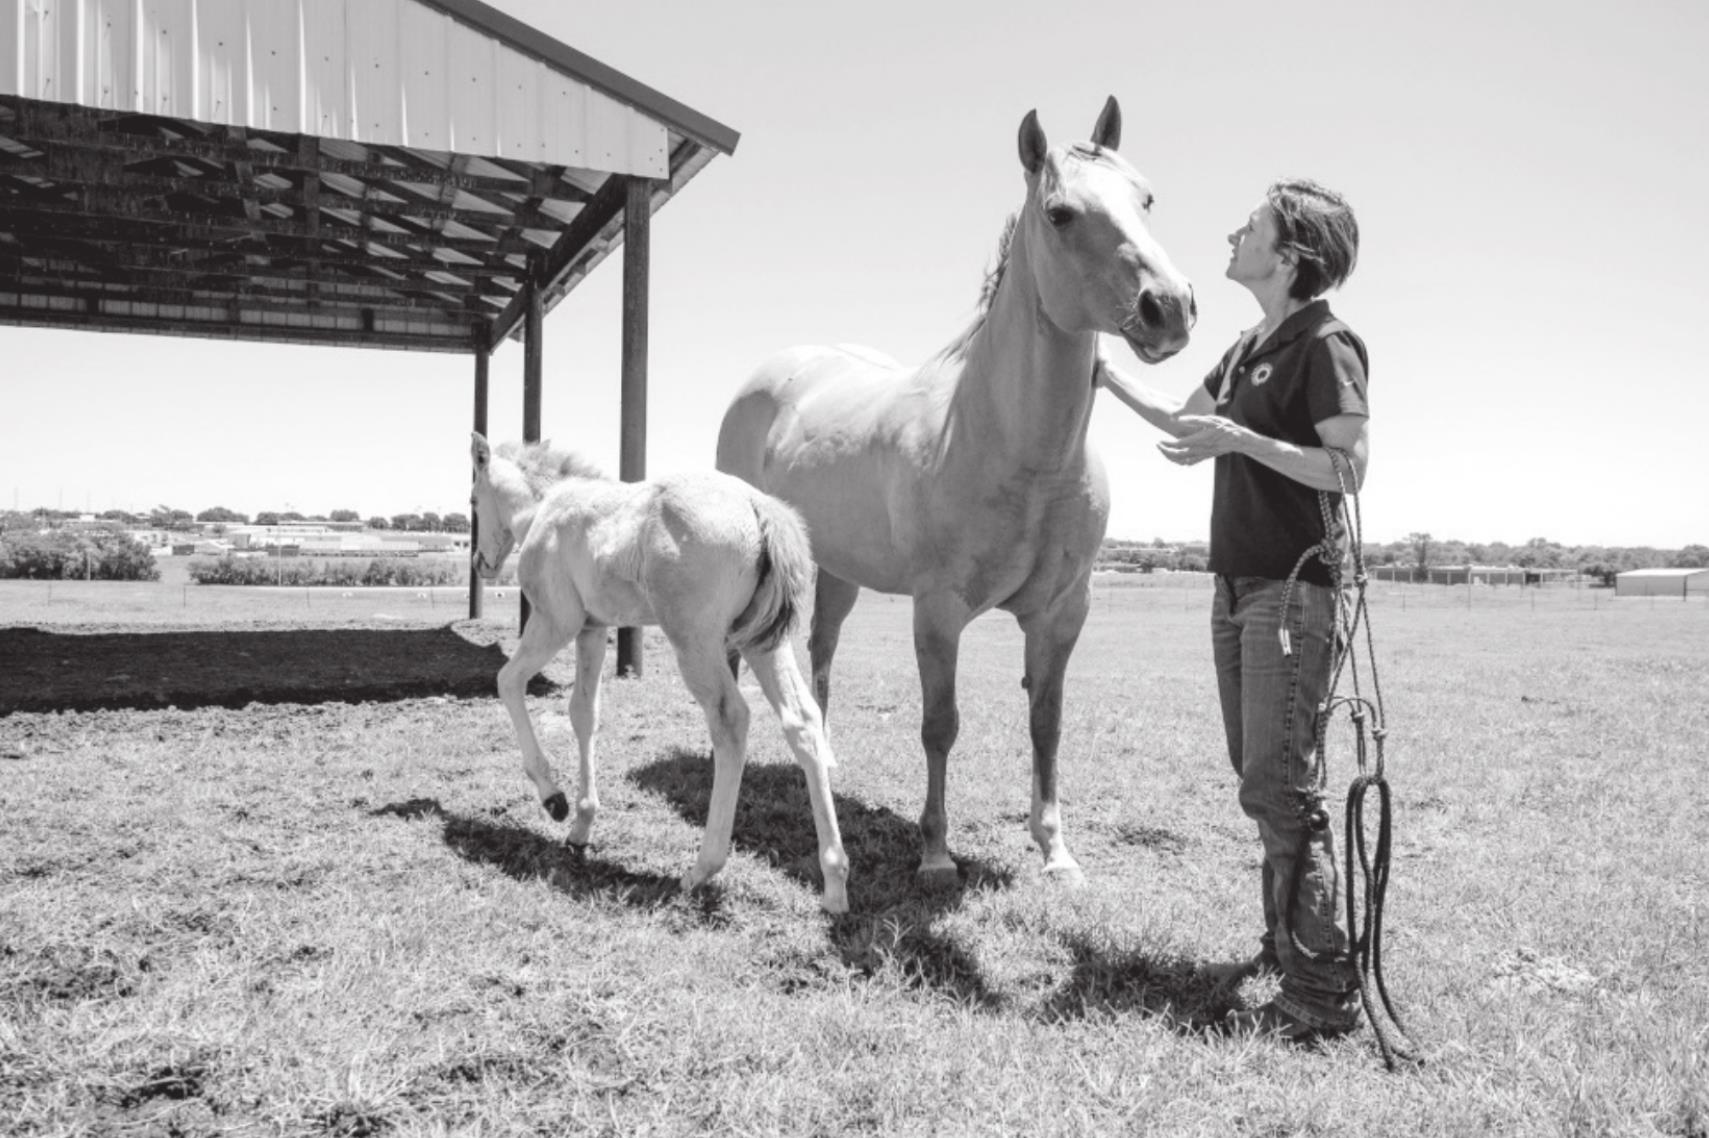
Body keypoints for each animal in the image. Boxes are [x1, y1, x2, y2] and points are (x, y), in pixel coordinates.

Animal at [469, 433, 850, 913]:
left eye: (473, 499)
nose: (479, 562)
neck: (544, 509)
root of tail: (757, 505)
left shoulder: (555, 621)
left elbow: (508, 681)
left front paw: (552, 797)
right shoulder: (593, 629)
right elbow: (583, 713)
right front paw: (581, 825)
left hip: (695, 641)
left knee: (730, 720)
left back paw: (702, 869)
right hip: (762, 641)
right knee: (802, 720)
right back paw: (835, 883)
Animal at [715, 97, 1194, 886]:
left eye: (1147, 198)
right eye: (1060, 213)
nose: (1170, 307)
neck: (1020, 453)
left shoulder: (1063, 614)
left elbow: (1046, 722)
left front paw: (1055, 851)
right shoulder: (937, 613)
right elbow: (940, 726)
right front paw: (935, 854)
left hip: (838, 572)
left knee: (821, 653)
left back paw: (827, 762)